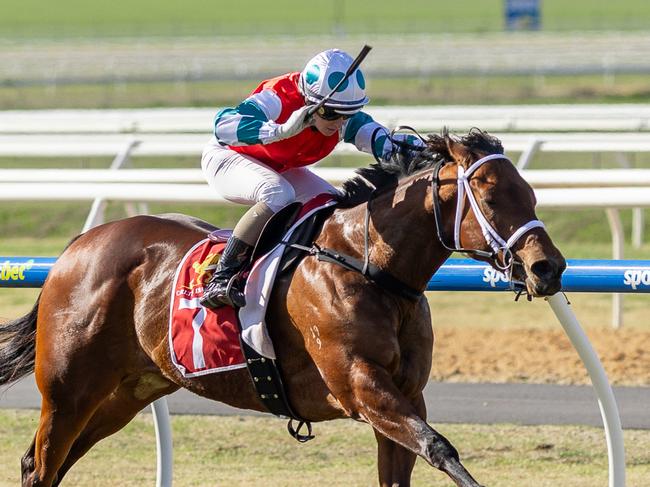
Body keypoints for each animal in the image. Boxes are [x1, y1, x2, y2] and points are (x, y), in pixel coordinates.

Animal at [1, 130, 560, 487]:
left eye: (532, 194)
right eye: (491, 198)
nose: (548, 267)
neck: (370, 267)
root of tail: (78, 246)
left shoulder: (406, 394)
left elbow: (413, 458)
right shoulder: (360, 386)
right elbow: (440, 447)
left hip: (128, 390)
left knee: (57, 463)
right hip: (69, 390)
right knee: (40, 464)